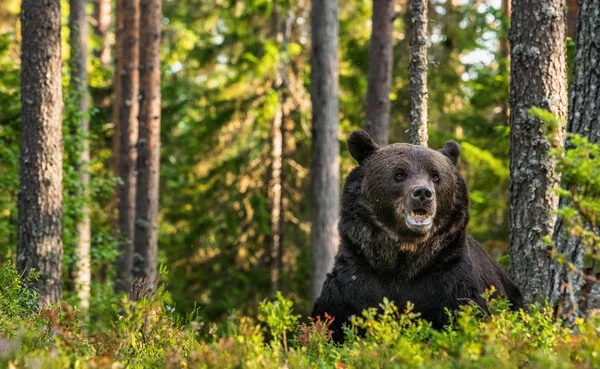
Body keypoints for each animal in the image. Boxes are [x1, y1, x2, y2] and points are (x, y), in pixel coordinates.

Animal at [312, 130, 524, 342]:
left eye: (436, 176)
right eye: (399, 174)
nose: (423, 193)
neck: (404, 259)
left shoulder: (450, 279)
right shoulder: (356, 277)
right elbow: (335, 318)